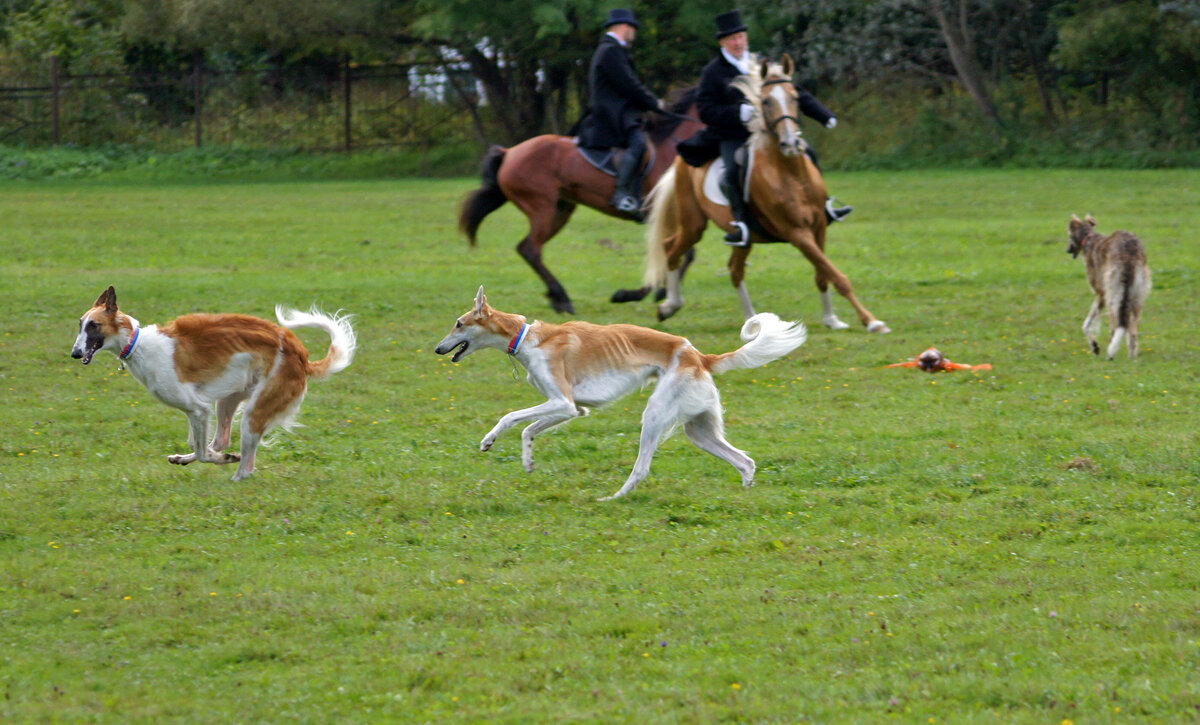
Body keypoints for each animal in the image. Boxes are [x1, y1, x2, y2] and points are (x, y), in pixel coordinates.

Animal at [72, 284, 352, 482]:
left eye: (94, 325)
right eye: (80, 324)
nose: (75, 353)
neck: (138, 344)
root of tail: (301, 354)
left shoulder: (198, 409)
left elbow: (204, 452)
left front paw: (224, 459)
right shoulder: (198, 410)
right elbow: (199, 445)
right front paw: (194, 457)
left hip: (256, 408)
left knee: (244, 464)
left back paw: (236, 473)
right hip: (229, 399)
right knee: (221, 441)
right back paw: (189, 458)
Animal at [434, 285, 806, 501]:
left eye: (458, 323)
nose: (438, 349)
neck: (526, 338)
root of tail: (699, 356)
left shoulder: (562, 402)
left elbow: (511, 417)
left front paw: (489, 440)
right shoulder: (573, 409)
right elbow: (529, 430)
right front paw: (527, 461)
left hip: (655, 415)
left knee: (642, 468)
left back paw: (613, 498)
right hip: (698, 429)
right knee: (745, 461)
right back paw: (746, 494)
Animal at [458, 88, 700, 314]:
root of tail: (509, 152)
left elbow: (683, 253)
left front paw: (659, 293)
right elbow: (679, 252)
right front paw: (640, 294)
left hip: (560, 210)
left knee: (527, 249)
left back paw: (556, 297)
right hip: (541, 208)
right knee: (531, 249)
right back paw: (563, 298)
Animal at [624, 57, 888, 333]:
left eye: (795, 97)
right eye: (766, 101)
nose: (791, 144)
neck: (791, 174)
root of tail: (678, 162)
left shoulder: (819, 228)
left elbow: (822, 273)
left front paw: (832, 319)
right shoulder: (798, 233)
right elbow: (836, 274)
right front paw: (872, 321)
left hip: (744, 237)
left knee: (734, 269)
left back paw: (752, 322)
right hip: (693, 224)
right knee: (672, 250)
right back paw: (670, 306)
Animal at [1070, 214, 1152, 362]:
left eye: (1069, 235)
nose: (1068, 250)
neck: (1089, 238)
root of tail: (1129, 254)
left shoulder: (1101, 294)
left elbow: (1086, 324)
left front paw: (1095, 346)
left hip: (1113, 296)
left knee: (1116, 327)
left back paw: (1111, 354)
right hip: (1136, 297)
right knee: (1133, 331)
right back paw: (1131, 357)